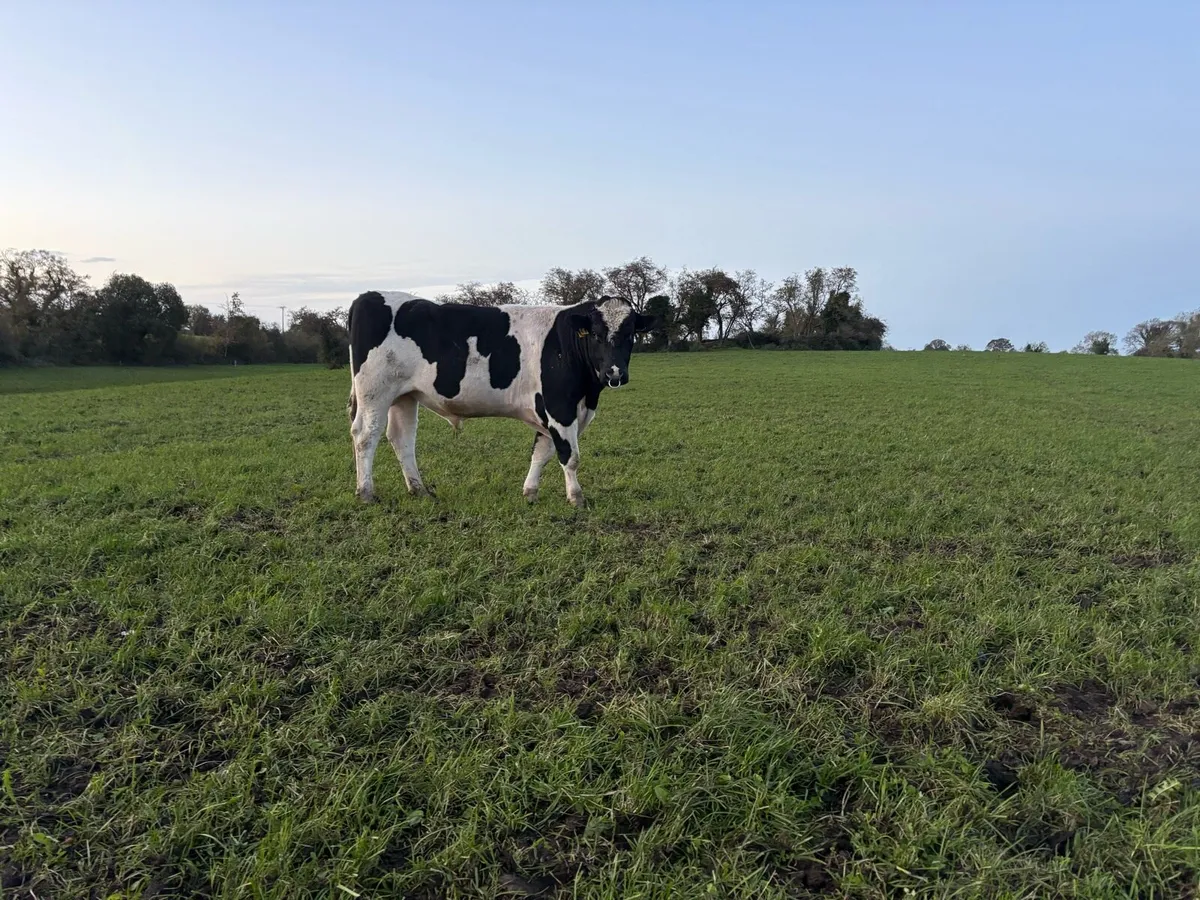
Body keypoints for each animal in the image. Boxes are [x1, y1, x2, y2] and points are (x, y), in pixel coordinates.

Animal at [346, 291, 656, 506]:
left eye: (630, 334)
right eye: (596, 334)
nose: (614, 372)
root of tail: (368, 296)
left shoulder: (552, 410)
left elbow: (541, 453)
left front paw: (530, 493)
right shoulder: (559, 406)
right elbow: (570, 456)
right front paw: (576, 497)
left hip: (405, 396)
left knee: (402, 439)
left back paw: (419, 490)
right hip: (375, 391)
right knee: (365, 435)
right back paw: (366, 492)